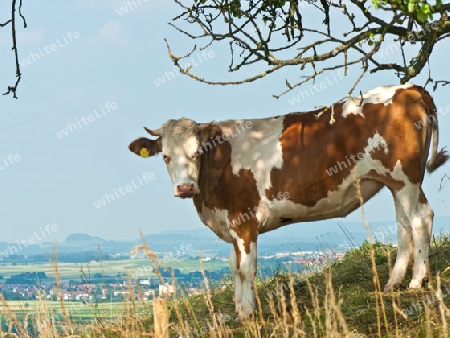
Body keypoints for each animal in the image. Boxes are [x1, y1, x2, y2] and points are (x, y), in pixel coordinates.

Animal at [129, 84, 446, 316]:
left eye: (196, 153)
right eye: (165, 156)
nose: (184, 187)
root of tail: (407, 88)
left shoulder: (243, 220)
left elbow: (246, 268)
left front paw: (248, 313)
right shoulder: (229, 223)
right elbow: (233, 266)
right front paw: (239, 310)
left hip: (406, 177)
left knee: (421, 218)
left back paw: (417, 281)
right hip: (394, 182)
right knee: (404, 224)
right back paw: (393, 282)